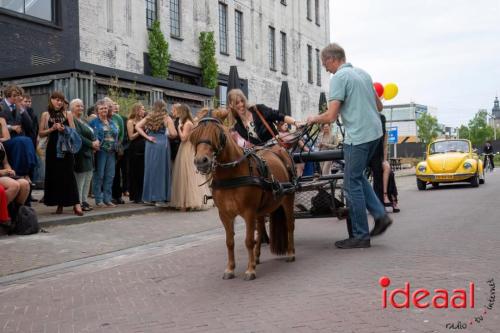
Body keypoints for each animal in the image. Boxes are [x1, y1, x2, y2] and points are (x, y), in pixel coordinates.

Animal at [189, 118, 294, 278]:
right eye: (195, 137)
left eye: (218, 136)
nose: (201, 161)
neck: (232, 175)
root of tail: (279, 149)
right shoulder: (225, 215)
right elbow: (229, 241)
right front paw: (230, 269)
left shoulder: (248, 212)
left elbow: (249, 240)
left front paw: (250, 270)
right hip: (261, 210)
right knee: (261, 230)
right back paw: (256, 257)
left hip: (288, 199)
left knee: (289, 225)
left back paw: (290, 253)